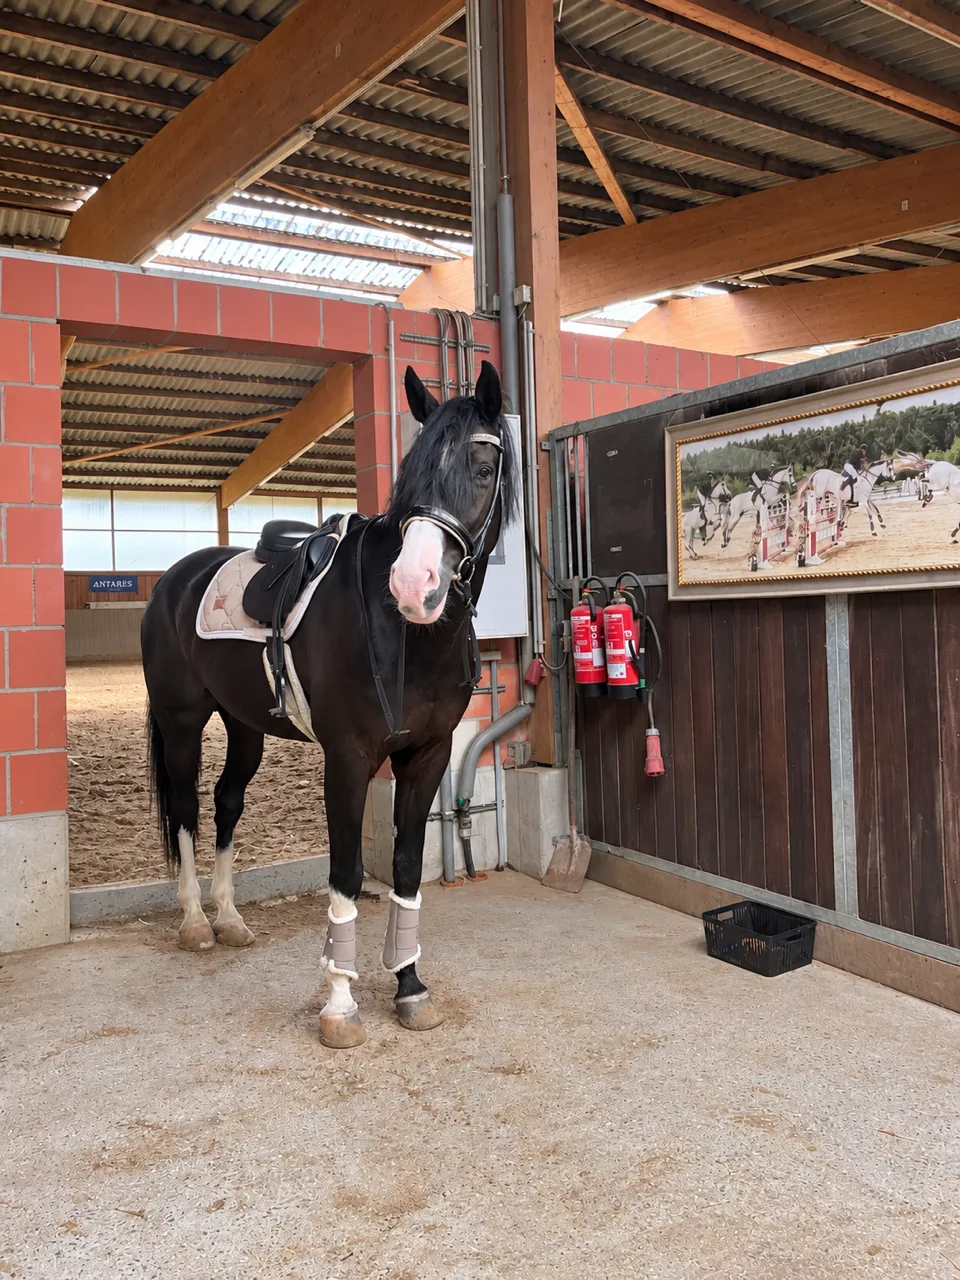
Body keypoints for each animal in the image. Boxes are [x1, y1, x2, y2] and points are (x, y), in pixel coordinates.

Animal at [140, 361, 518, 1049]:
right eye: (411, 474)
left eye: (482, 470)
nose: (413, 586)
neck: (410, 638)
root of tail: (173, 581)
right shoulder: (347, 759)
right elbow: (345, 872)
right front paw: (341, 1004)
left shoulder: (428, 755)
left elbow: (405, 867)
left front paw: (410, 987)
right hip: (181, 723)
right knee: (185, 810)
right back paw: (195, 922)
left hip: (245, 727)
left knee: (226, 803)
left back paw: (229, 917)